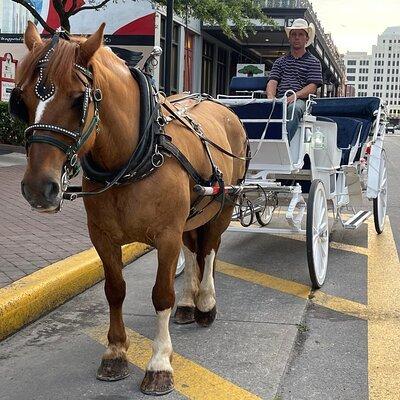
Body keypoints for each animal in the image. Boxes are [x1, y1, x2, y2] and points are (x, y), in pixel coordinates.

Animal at [15, 21, 248, 394]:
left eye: (79, 99)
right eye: (21, 99)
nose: (39, 188)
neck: (131, 160)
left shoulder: (166, 236)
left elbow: (161, 294)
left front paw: (159, 363)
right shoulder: (103, 237)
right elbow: (115, 291)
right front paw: (115, 352)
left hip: (224, 204)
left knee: (210, 250)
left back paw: (205, 303)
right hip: (191, 216)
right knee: (193, 250)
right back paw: (188, 302)